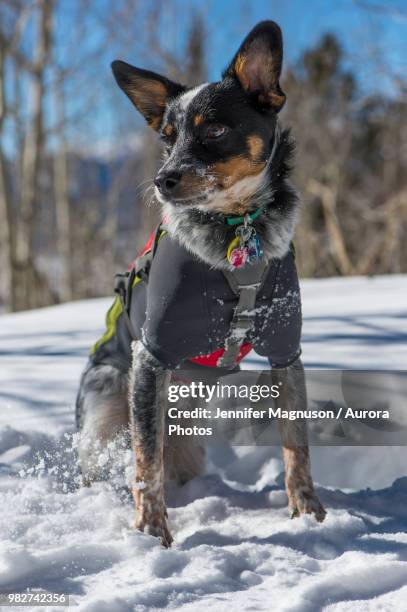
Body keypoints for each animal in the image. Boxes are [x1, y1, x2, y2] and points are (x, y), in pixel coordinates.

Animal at [75, 21, 326, 548]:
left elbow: (297, 447)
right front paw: (152, 535)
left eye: (214, 129)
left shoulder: (286, 351)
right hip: (106, 408)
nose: (162, 180)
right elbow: (145, 466)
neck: (237, 228)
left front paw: (310, 515)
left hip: (186, 430)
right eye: (167, 139)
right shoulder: (152, 355)